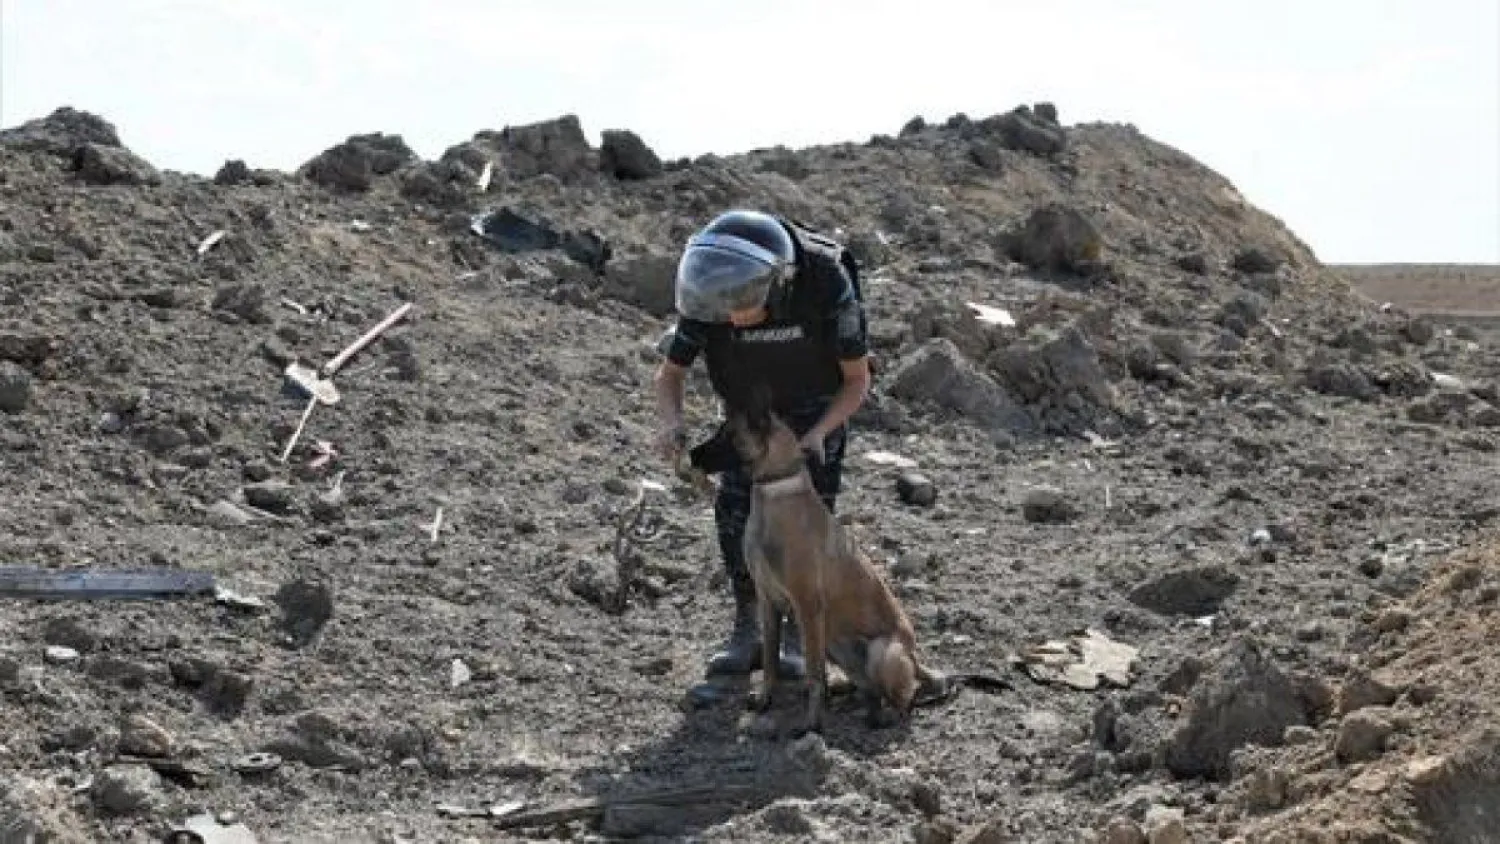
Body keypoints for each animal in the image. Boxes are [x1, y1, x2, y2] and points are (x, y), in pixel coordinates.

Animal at [723, 401, 936, 734]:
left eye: (728, 434)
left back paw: (886, 715)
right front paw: (764, 699)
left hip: (883, 652)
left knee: (904, 701)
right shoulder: (769, 602)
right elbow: (770, 662)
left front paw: (811, 723)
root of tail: (915, 658)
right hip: (835, 644)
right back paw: (858, 704)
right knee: (870, 690)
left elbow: (812, 675)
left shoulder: (808, 606)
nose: (690, 453)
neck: (776, 492)